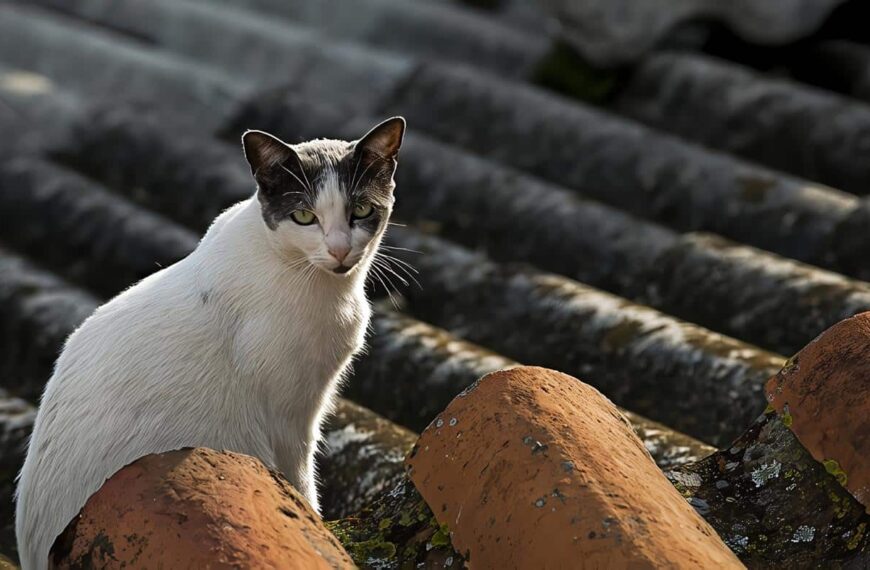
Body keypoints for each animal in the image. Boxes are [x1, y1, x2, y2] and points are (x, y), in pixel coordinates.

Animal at [15, 116, 408, 568]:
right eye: (304, 216)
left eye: (360, 210)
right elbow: (301, 483)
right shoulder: (290, 418)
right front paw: (317, 524)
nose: (340, 249)